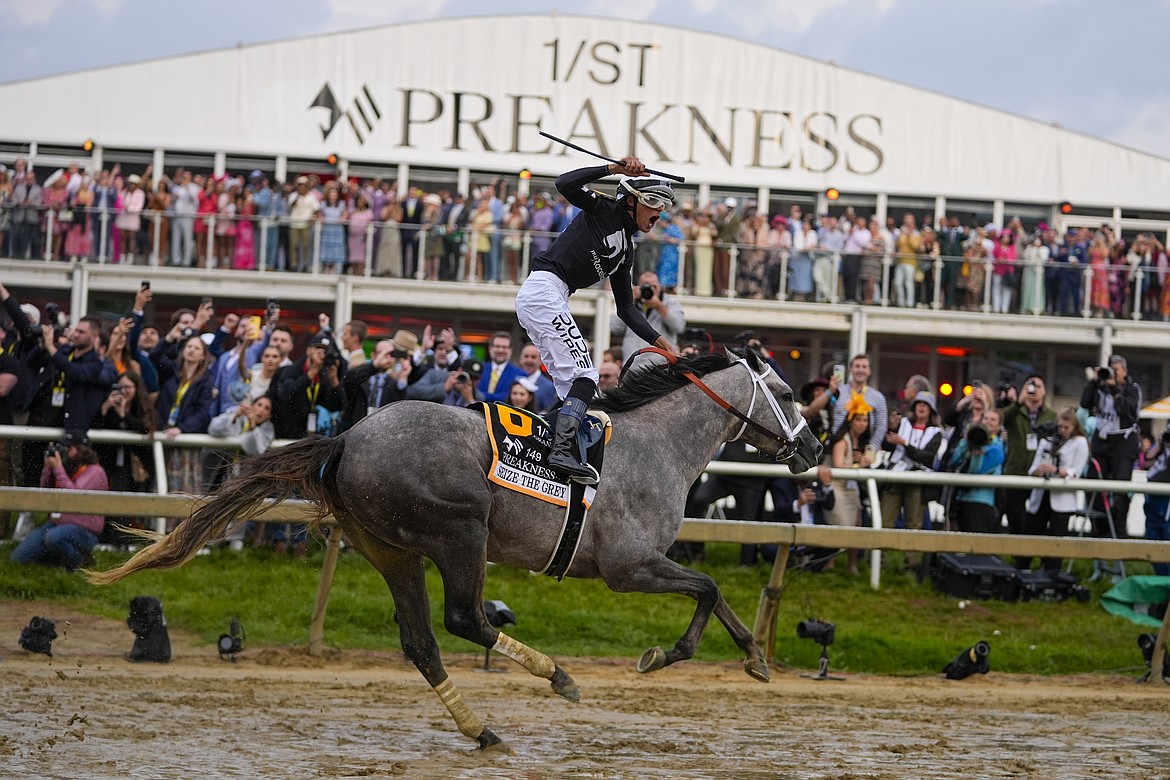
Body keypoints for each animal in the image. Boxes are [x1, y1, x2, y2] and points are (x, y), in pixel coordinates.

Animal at [88, 348, 823, 748]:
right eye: (789, 393)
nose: (814, 450)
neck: (656, 446)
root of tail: (347, 439)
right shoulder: (627, 566)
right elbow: (707, 589)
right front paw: (664, 655)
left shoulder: (642, 564)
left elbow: (716, 594)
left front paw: (755, 657)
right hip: (459, 533)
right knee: (464, 618)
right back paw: (556, 677)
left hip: (391, 550)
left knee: (421, 641)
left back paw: (481, 730)